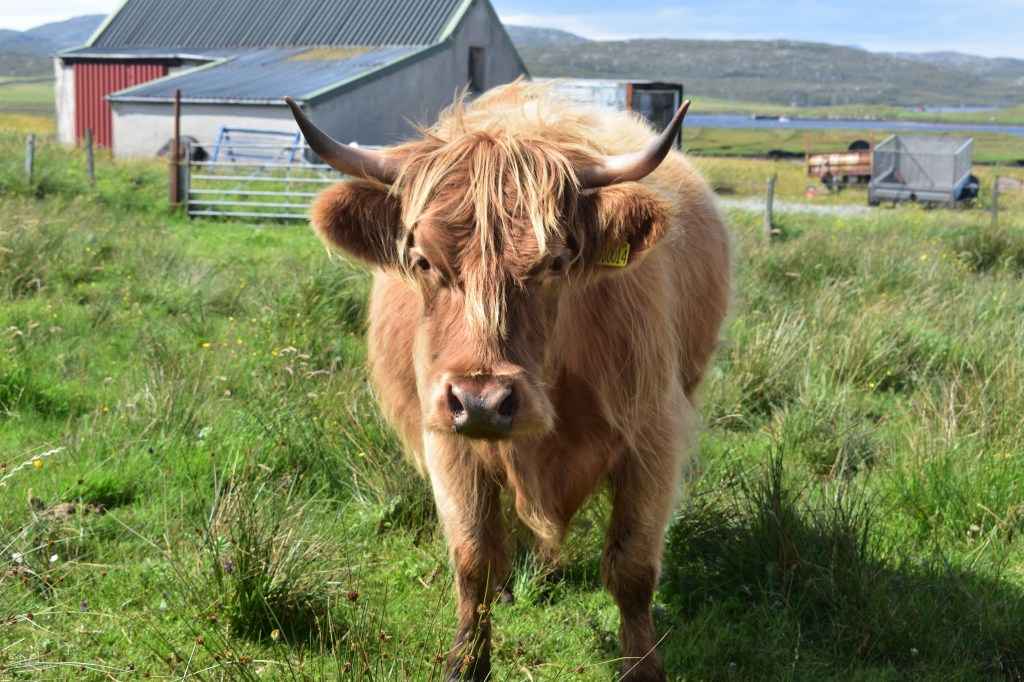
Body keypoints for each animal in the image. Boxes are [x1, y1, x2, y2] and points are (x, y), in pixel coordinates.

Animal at [285, 80, 731, 681]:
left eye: (556, 261)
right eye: (422, 260)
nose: (481, 401)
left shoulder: (653, 435)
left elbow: (633, 569)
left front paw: (641, 668)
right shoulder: (445, 438)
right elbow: (473, 560)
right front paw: (466, 663)